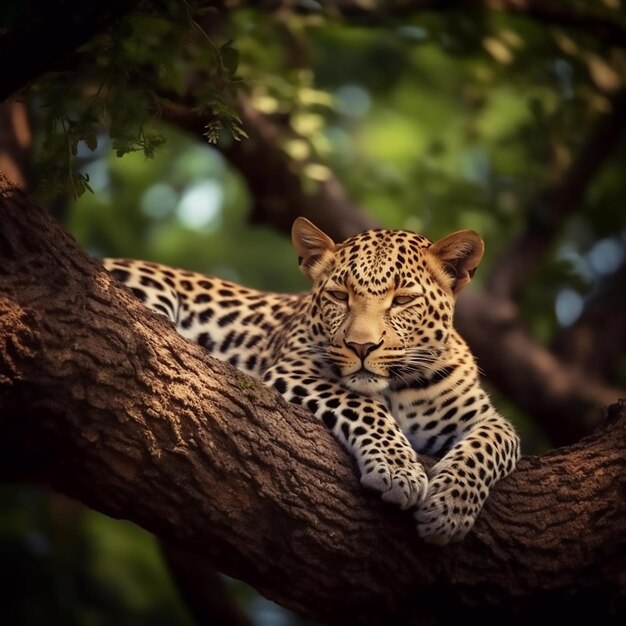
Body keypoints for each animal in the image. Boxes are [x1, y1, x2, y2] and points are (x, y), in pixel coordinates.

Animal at [105, 216, 520, 540]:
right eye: (339, 296)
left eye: (402, 300)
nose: (361, 346)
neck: (396, 386)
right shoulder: (291, 370)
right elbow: (363, 405)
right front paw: (397, 471)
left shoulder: (485, 418)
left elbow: (496, 443)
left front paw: (450, 507)